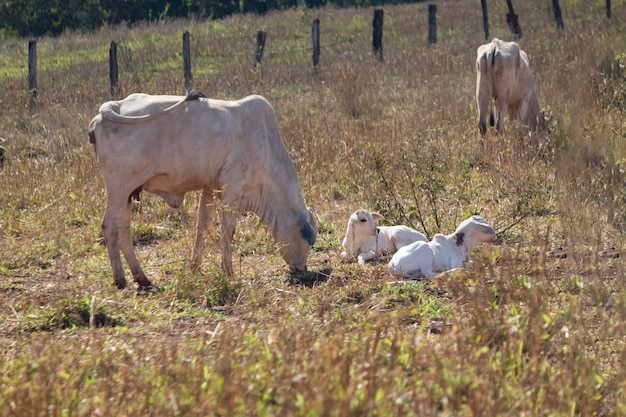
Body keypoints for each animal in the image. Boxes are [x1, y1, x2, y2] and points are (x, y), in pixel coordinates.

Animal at [88, 91, 316, 288]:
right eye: (305, 241)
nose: (302, 269)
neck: (266, 145)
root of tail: (109, 109)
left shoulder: (210, 189)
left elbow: (203, 226)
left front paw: (194, 267)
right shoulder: (232, 190)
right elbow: (228, 231)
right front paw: (228, 271)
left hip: (127, 193)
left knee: (124, 229)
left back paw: (141, 277)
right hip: (118, 188)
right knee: (110, 226)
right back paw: (120, 279)